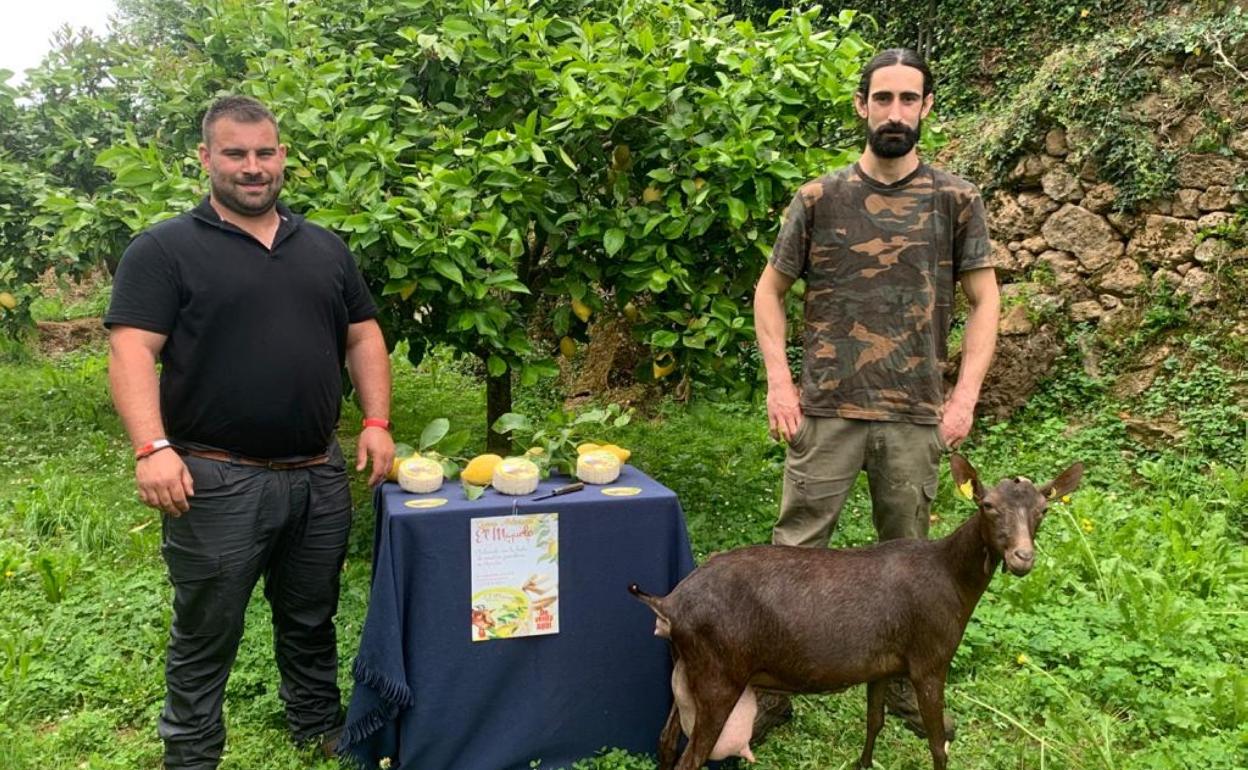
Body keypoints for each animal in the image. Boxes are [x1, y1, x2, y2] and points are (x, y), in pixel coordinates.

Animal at [633, 454, 1083, 763]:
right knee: (690, 758)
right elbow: (938, 744)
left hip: (685, 670)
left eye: (1043, 510)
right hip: (718, 675)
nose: (1023, 558)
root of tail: (668, 604)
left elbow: (874, 722)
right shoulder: (929, 659)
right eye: (987, 505)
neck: (952, 581)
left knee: (665, 741)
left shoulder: (881, 665)